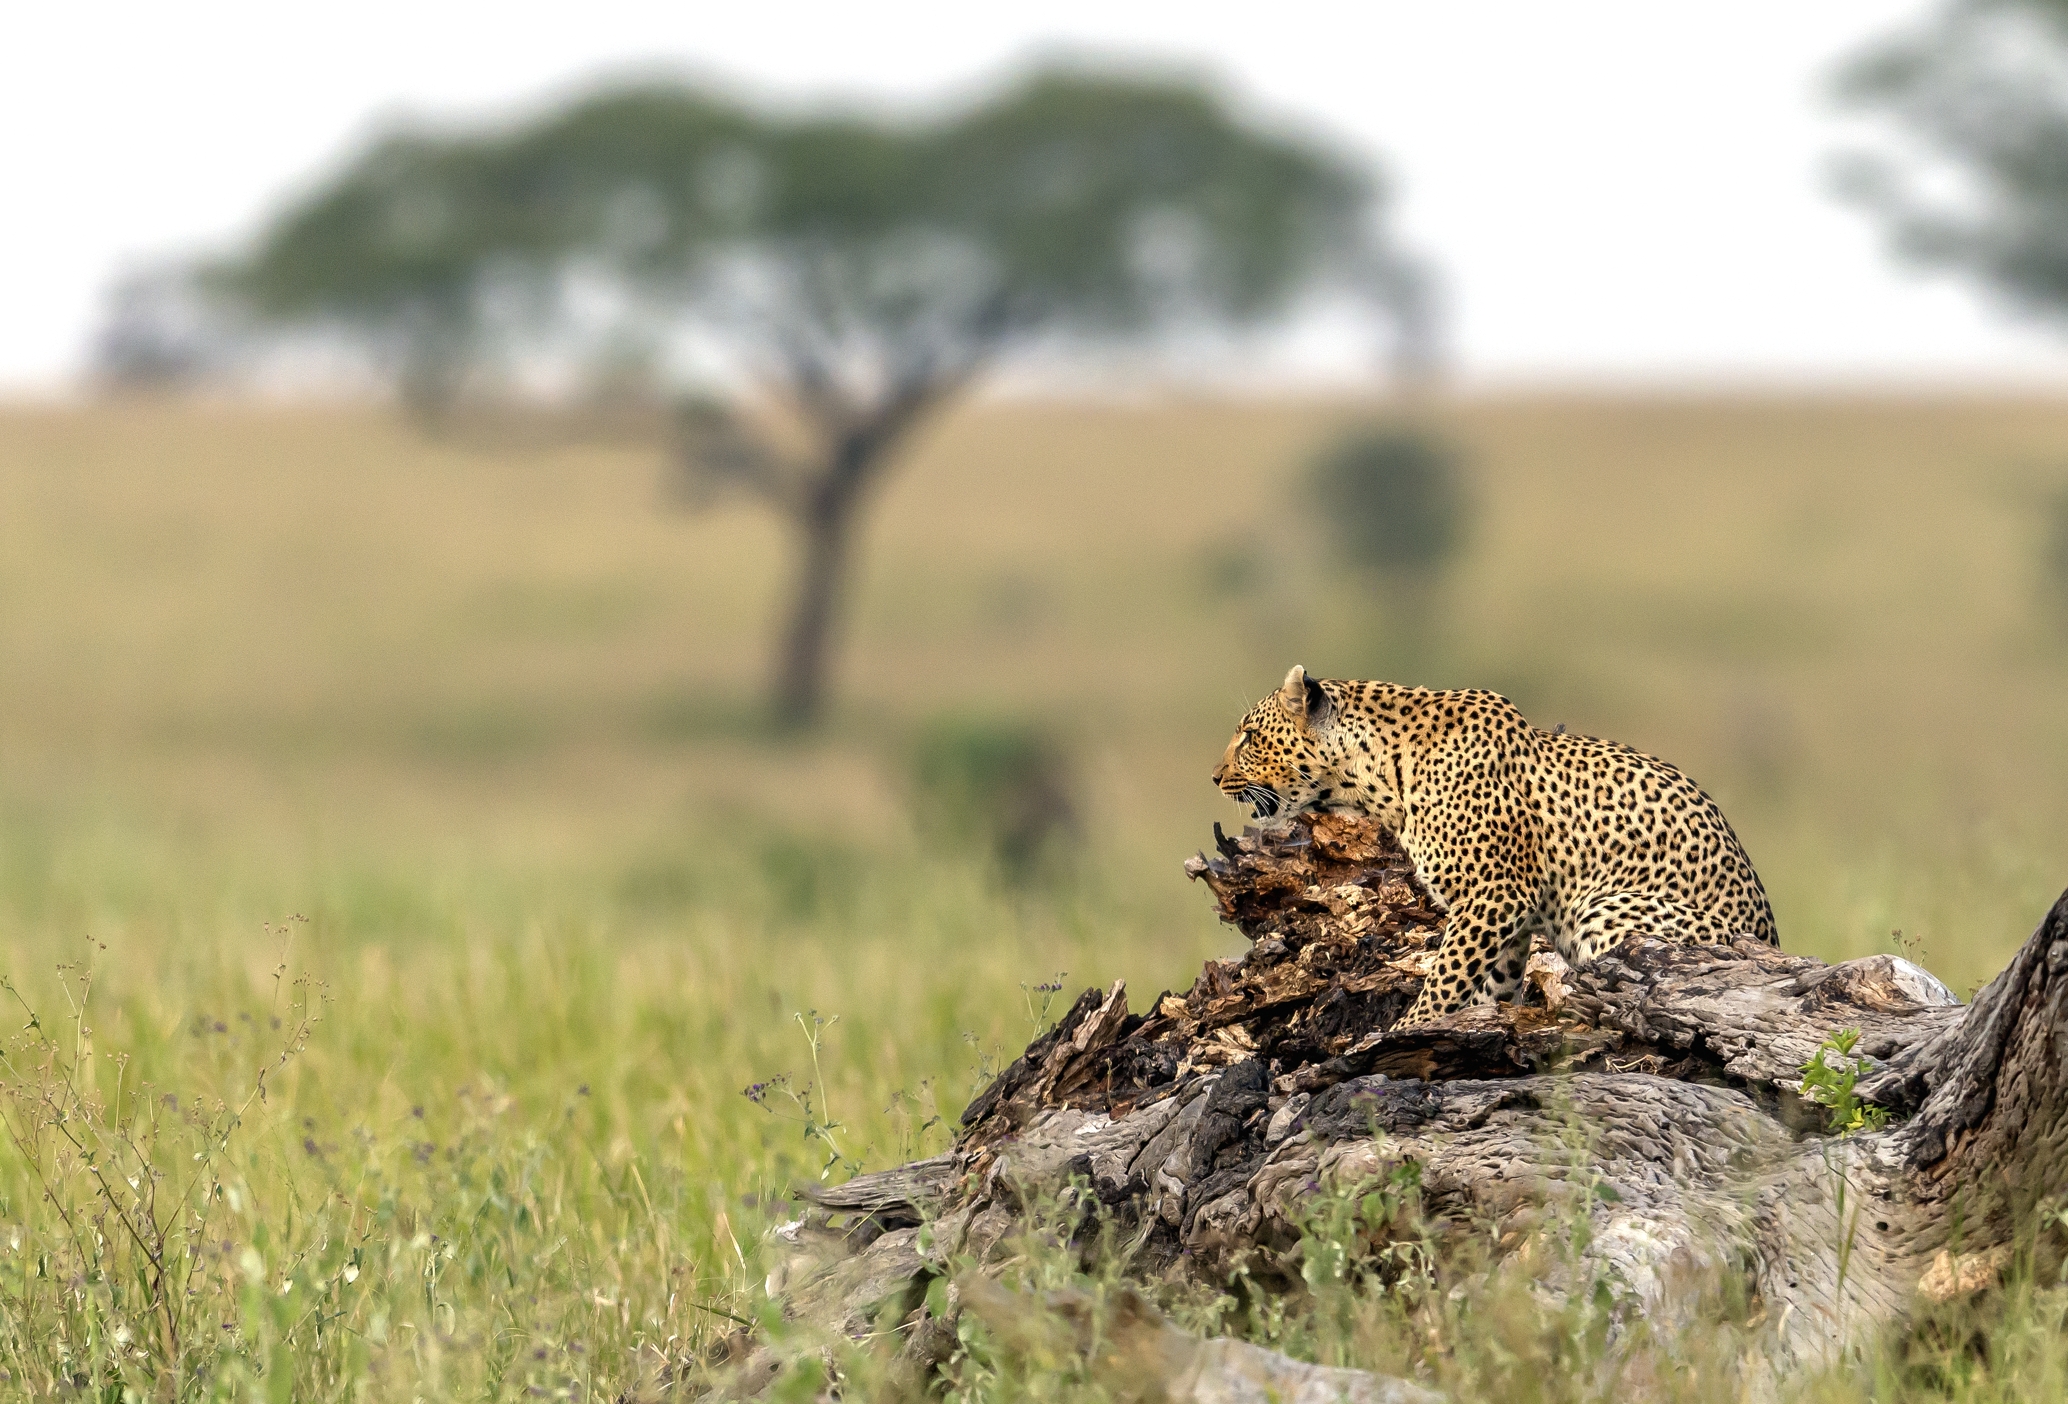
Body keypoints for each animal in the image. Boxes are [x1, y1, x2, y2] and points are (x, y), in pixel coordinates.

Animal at [1211, 665, 1777, 1028]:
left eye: (1249, 736)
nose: (1215, 776)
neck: (1375, 778)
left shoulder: (1495, 894)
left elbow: (1445, 977)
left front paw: (1406, 1030)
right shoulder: (1506, 916)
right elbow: (1488, 980)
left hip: (1603, 908)